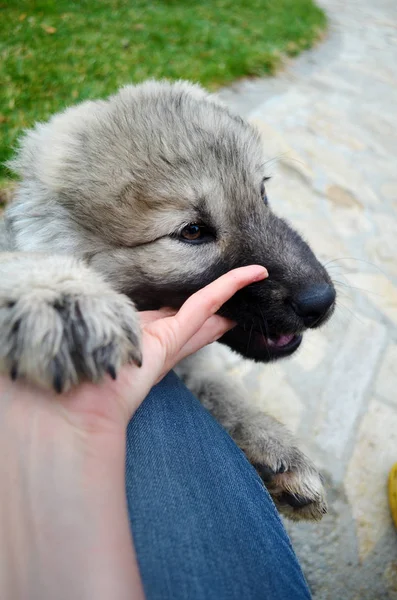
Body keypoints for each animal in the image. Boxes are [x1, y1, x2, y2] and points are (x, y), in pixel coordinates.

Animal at [0, 79, 334, 520]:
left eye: (263, 194)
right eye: (192, 231)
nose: (322, 301)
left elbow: (222, 391)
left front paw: (272, 444)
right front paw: (60, 293)